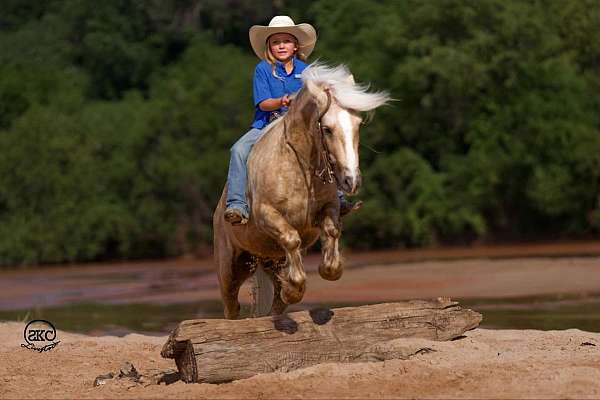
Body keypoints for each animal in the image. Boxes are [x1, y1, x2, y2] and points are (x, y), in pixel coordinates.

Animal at [212, 63, 390, 318]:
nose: (351, 181)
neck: (298, 166)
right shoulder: (267, 214)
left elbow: (332, 236)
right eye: (327, 129)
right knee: (231, 306)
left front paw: (320, 273)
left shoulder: (329, 208)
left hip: (265, 260)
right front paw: (293, 288)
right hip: (229, 267)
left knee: (274, 301)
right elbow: (291, 238)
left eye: (358, 125)